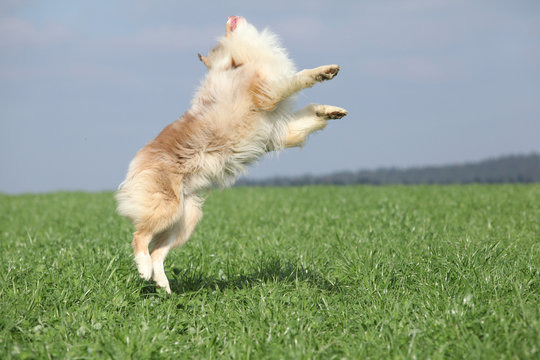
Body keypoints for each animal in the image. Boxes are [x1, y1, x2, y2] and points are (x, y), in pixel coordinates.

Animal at [116, 15, 348, 294]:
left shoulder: (280, 131)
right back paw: (143, 269)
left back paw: (163, 285)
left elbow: (310, 111)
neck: (238, 62)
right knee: (139, 238)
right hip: (165, 209)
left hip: (186, 218)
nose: (230, 16)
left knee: (157, 252)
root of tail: (136, 161)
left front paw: (331, 110)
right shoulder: (269, 92)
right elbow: (298, 78)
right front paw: (323, 72)